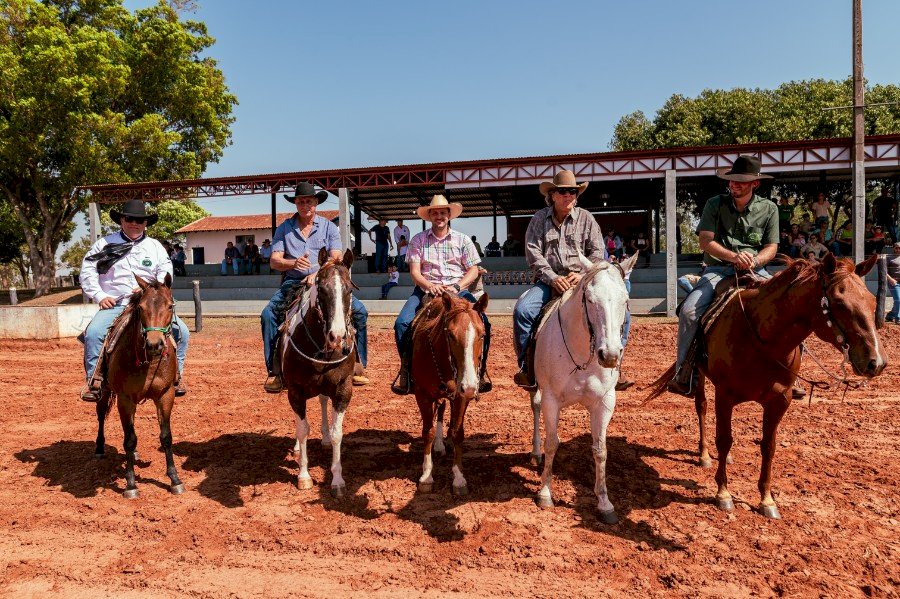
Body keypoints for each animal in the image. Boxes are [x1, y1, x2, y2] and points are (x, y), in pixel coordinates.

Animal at [95, 274, 183, 500]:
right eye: (141, 307)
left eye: (170, 305)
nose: (154, 344)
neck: (148, 362)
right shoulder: (125, 399)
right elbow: (129, 439)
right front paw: (130, 484)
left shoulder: (165, 395)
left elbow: (166, 437)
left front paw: (175, 479)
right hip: (104, 392)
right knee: (101, 416)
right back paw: (99, 447)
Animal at [282, 247, 356, 496]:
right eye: (321, 289)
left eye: (349, 289)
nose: (337, 337)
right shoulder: (295, 391)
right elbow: (303, 429)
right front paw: (304, 476)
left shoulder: (343, 389)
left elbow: (336, 432)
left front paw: (338, 481)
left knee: (323, 401)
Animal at [412, 292, 488, 496]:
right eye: (451, 335)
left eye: (482, 335)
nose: (470, 386)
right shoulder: (422, 395)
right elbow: (428, 431)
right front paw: (426, 476)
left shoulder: (460, 396)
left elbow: (457, 432)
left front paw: (459, 478)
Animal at [532, 251, 636, 524]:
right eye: (589, 299)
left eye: (625, 300)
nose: (609, 355)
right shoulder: (551, 399)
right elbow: (552, 443)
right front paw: (545, 493)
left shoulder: (605, 402)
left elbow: (600, 450)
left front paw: (605, 503)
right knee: (534, 408)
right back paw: (535, 453)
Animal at [648, 253, 884, 520]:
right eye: (840, 303)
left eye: (873, 301)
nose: (876, 362)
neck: (763, 340)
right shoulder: (724, 395)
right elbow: (724, 439)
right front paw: (723, 494)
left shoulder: (780, 400)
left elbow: (768, 447)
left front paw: (767, 500)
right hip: (699, 373)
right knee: (702, 407)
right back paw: (705, 455)